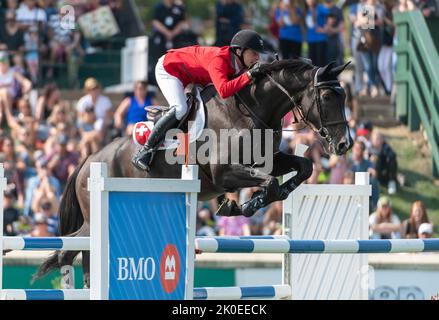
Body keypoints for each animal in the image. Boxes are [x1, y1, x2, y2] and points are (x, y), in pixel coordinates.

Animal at [36, 59, 356, 288]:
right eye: (328, 97)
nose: (344, 144)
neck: (251, 109)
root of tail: (89, 160)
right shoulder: (224, 173)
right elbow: (269, 185)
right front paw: (241, 205)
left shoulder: (269, 161)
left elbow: (302, 168)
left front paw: (253, 201)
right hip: (95, 217)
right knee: (68, 251)